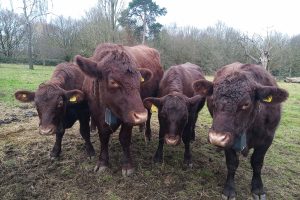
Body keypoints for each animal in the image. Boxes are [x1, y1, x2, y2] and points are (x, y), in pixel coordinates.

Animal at [75, 43, 164, 176]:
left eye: (139, 80)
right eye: (113, 82)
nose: (140, 116)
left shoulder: (128, 117)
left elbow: (124, 138)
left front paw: (127, 165)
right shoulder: (96, 115)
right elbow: (103, 137)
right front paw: (102, 162)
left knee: (149, 115)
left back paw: (147, 134)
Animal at [192, 62, 288, 198]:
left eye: (246, 104)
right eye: (213, 99)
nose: (216, 138)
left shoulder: (267, 139)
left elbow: (257, 162)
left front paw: (258, 188)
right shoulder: (230, 138)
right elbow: (232, 163)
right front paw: (229, 189)